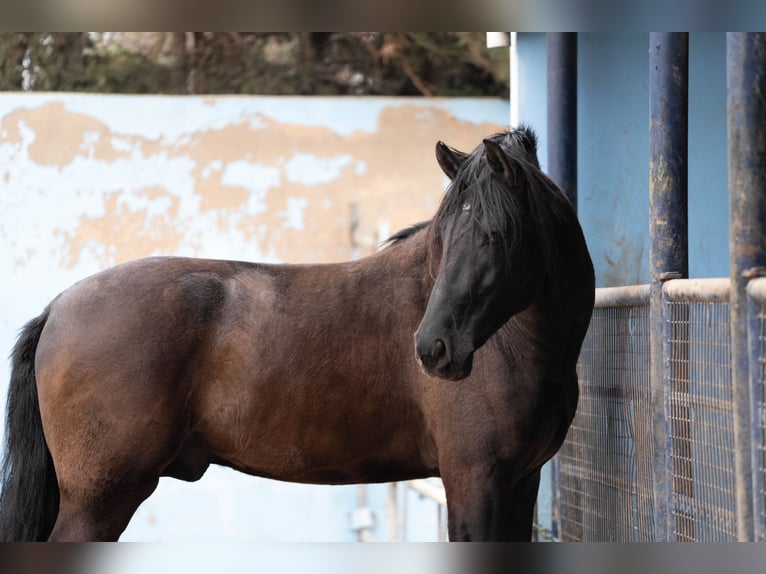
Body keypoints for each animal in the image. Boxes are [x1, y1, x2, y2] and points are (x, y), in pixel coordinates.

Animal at [0, 127, 592, 544]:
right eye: (443, 236)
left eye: (495, 235)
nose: (433, 348)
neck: (520, 347)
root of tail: (57, 308)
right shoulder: (476, 483)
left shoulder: (518, 485)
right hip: (98, 502)